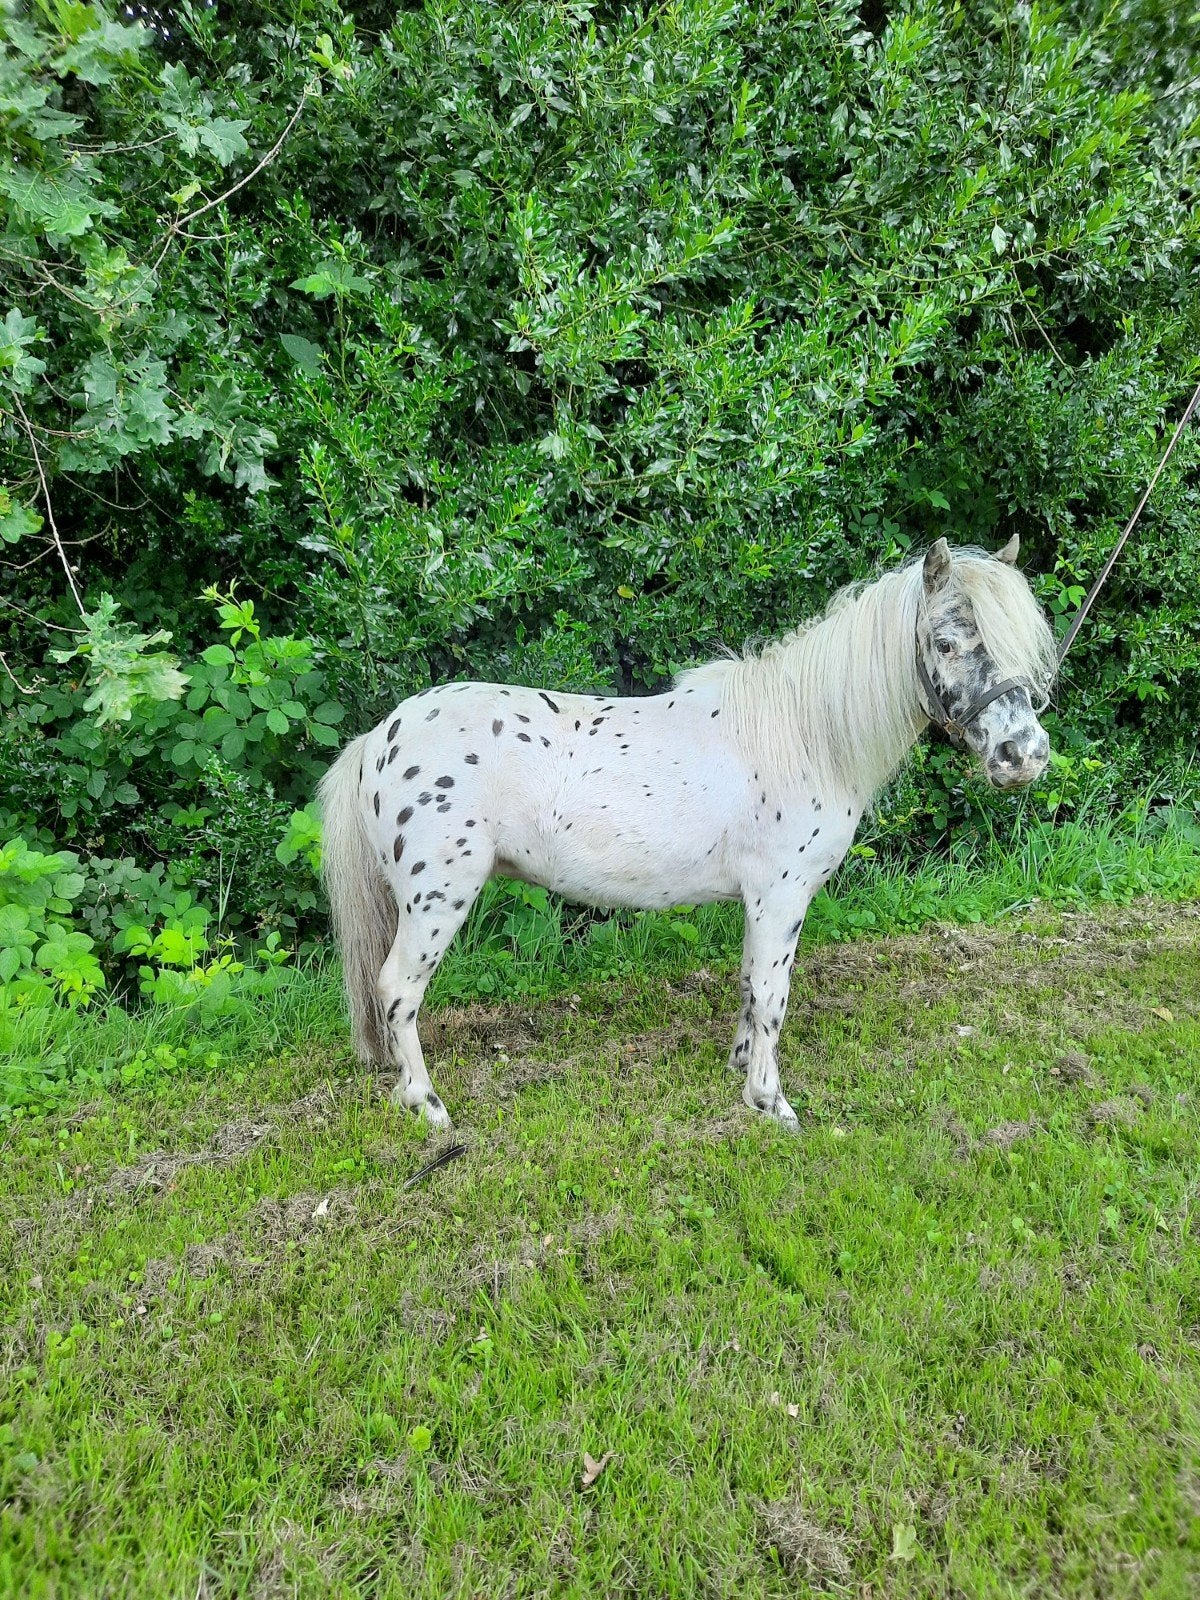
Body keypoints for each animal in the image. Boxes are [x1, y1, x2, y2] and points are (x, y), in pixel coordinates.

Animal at [318, 536, 1056, 1129]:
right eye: (946, 642)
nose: (1023, 755)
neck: (803, 737)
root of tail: (380, 738)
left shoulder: (760, 903)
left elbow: (751, 983)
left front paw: (741, 1068)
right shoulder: (782, 896)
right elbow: (773, 996)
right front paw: (771, 1102)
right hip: (437, 899)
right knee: (397, 991)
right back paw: (427, 1106)